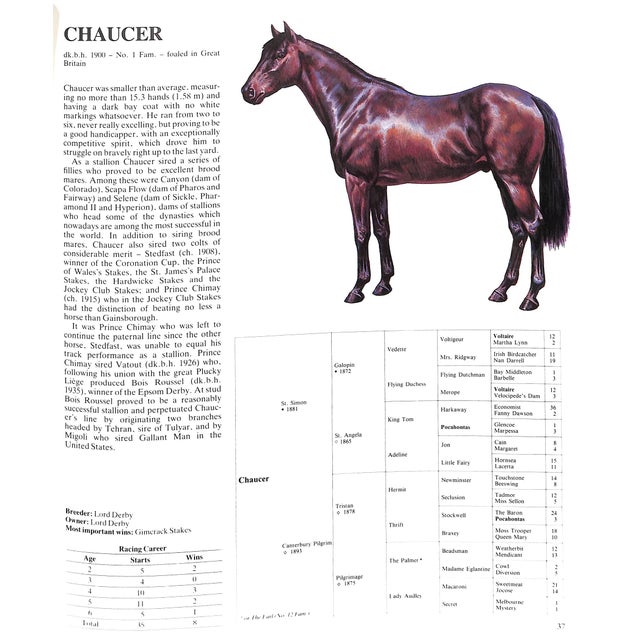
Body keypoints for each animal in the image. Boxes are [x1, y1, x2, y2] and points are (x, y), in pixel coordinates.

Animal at [241, 23, 569, 310]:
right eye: (263, 52)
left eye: (279, 54)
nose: (248, 92)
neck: (353, 105)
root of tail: (530, 99)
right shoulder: (378, 184)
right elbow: (382, 229)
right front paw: (383, 284)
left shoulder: (357, 181)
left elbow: (361, 232)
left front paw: (357, 289)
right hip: (503, 180)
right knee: (517, 229)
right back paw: (501, 290)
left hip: (515, 181)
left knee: (534, 224)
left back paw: (531, 296)